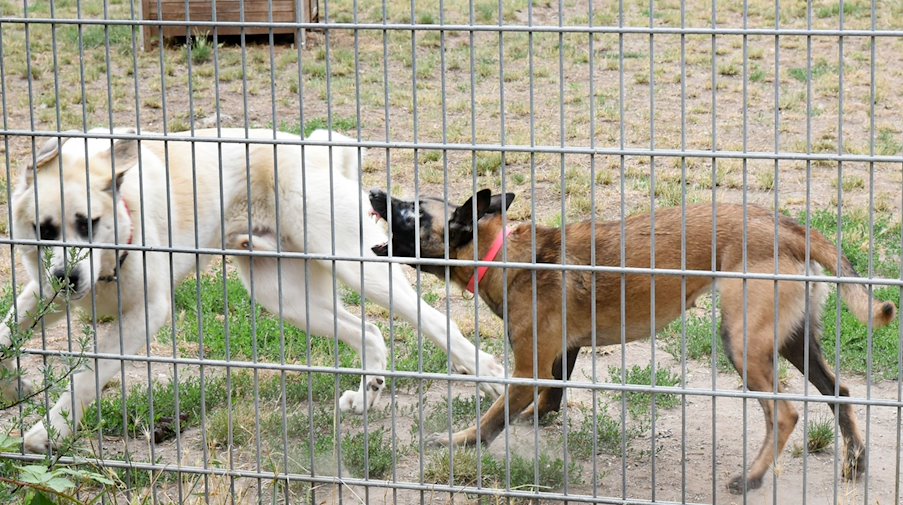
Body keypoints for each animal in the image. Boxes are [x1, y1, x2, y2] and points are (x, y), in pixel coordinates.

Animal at [0, 128, 504, 450]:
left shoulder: (146, 314)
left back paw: (490, 375)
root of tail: (315, 150)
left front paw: (49, 432)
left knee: (435, 322)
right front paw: (14, 387)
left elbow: (88, 374)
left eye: (89, 222)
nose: (68, 279)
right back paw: (366, 395)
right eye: (45, 229)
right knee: (369, 332)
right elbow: (7, 332)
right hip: (284, 297)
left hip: (358, 268)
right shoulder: (41, 294)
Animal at [370, 188, 896, 492]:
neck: (501, 252)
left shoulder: (527, 368)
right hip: (792, 342)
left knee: (784, 414)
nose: (375, 191)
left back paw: (751, 478)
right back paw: (856, 460)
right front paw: (535, 418)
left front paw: (458, 440)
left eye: (412, 210)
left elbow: (493, 417)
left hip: (744, 345)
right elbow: (551, 395)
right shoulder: (559, 355)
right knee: (839, 391)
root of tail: (789, 226)